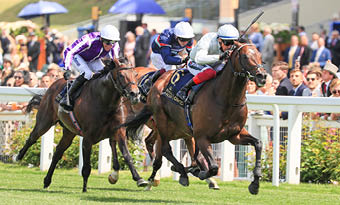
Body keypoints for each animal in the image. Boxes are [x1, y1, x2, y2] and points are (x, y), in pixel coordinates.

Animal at [16, 58, 148, 192]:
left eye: (136, 74)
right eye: (121, 75)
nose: (135, 94)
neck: (105, 101)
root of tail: (53, 84)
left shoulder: (118, 132)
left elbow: (127, 155)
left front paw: (139, 179)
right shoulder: (88, 138)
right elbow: (86, 167)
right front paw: (84, 189)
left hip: (69, 132)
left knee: (58, 152)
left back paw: (47, 181)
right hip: (45, 121)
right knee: (32, 137)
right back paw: (18, 157)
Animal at [121, 40, 266, 195]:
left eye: (260, 56)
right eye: (245, 56)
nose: (262, 76)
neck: (225, 99)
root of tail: (158, 80)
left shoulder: (235, 135)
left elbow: (258, 143)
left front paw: (255, 183)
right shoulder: (201, 137)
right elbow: (213, 166)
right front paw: (199, 173)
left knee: (155, 145)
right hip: (162, 123)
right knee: (165, 149)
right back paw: (178, 174)